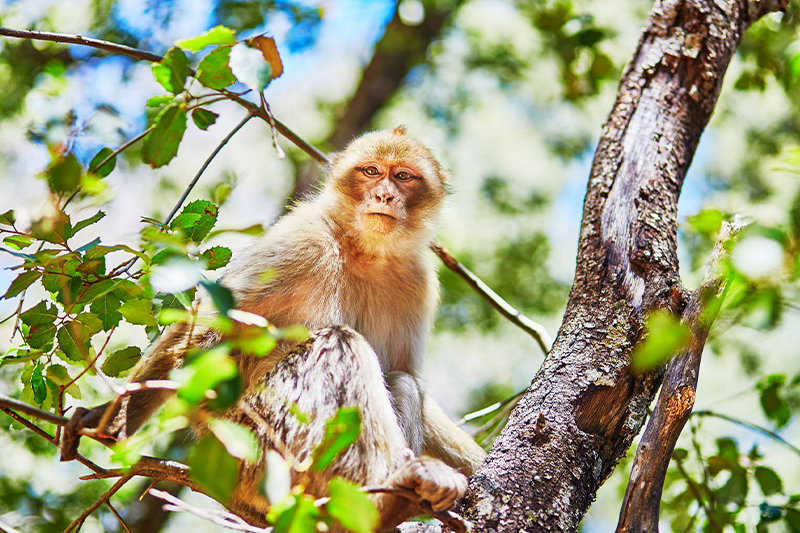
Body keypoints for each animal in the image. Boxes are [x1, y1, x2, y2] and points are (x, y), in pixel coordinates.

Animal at [59, 127, 484, 528]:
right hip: (258, 448)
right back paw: (383, 500)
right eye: (371, 172)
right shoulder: (300, 240)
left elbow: (407, 374)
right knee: (340, 343)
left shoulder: (417, 281)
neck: (364, 250)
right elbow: (204, 333)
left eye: (403, 176)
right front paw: (110, 419)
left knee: (401, 381)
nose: (383, 195)